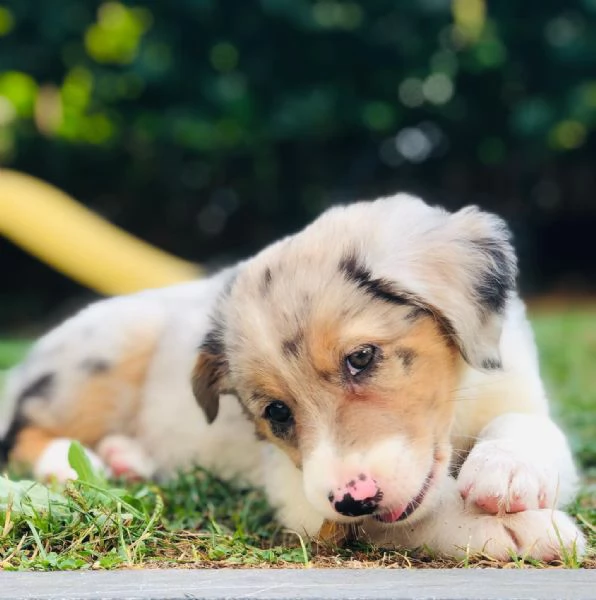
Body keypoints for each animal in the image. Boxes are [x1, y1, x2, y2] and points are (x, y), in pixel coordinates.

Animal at [0, 193, 588, 564]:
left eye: (361, 358)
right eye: (277, 412)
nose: (354, 498)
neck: (455, 412)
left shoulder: (514, 385)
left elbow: (527, 428)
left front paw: (509, 472)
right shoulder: (306, 500)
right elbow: (421, 513)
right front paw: (519, 530)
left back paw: (128, 458)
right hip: (104, 351)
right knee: (24, 433)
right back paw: (75, 464)